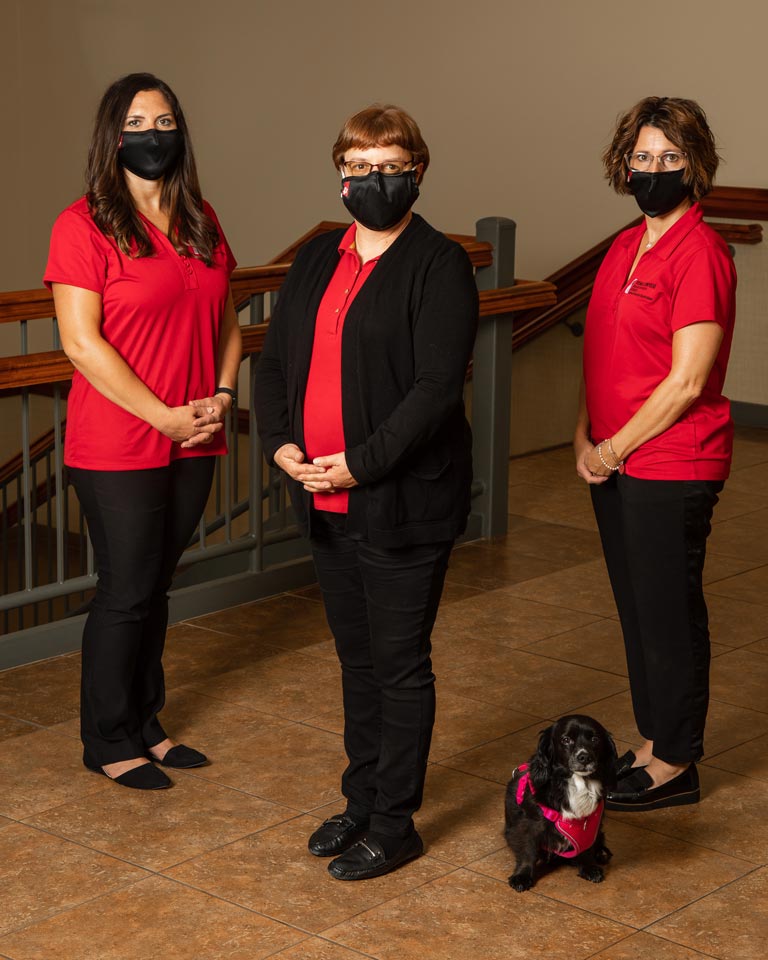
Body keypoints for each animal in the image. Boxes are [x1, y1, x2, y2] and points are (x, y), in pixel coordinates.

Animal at [504, 712, 616, 892]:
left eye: (595, 739)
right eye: (565, 739)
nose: (584, 757)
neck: (577, 783)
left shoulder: (591, 824)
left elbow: (587, 847)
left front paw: (589, 867)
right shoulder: (530, 823)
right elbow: (528, 851)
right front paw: (522, 876)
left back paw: (601, 852)